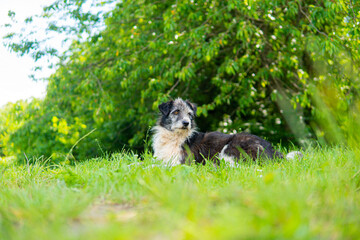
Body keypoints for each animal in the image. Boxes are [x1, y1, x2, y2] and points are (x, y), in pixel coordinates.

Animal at [152, 98, 300, 166]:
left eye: (189, 114)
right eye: (176, 112)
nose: (186, 123)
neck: (175, 137)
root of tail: (272, 151)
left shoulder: (180, 162)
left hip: (229, 148)